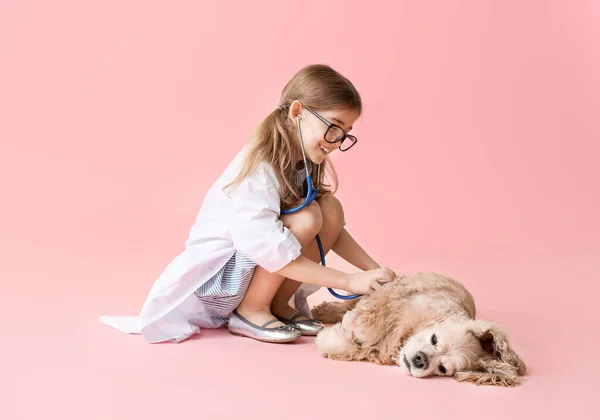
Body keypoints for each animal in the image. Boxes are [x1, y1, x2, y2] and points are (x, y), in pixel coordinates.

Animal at [310, 272, 524, 388]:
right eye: (434, 339)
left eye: (442, 368)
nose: (420, 360)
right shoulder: (384, 300)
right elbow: (361, 326)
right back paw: (323, 311)